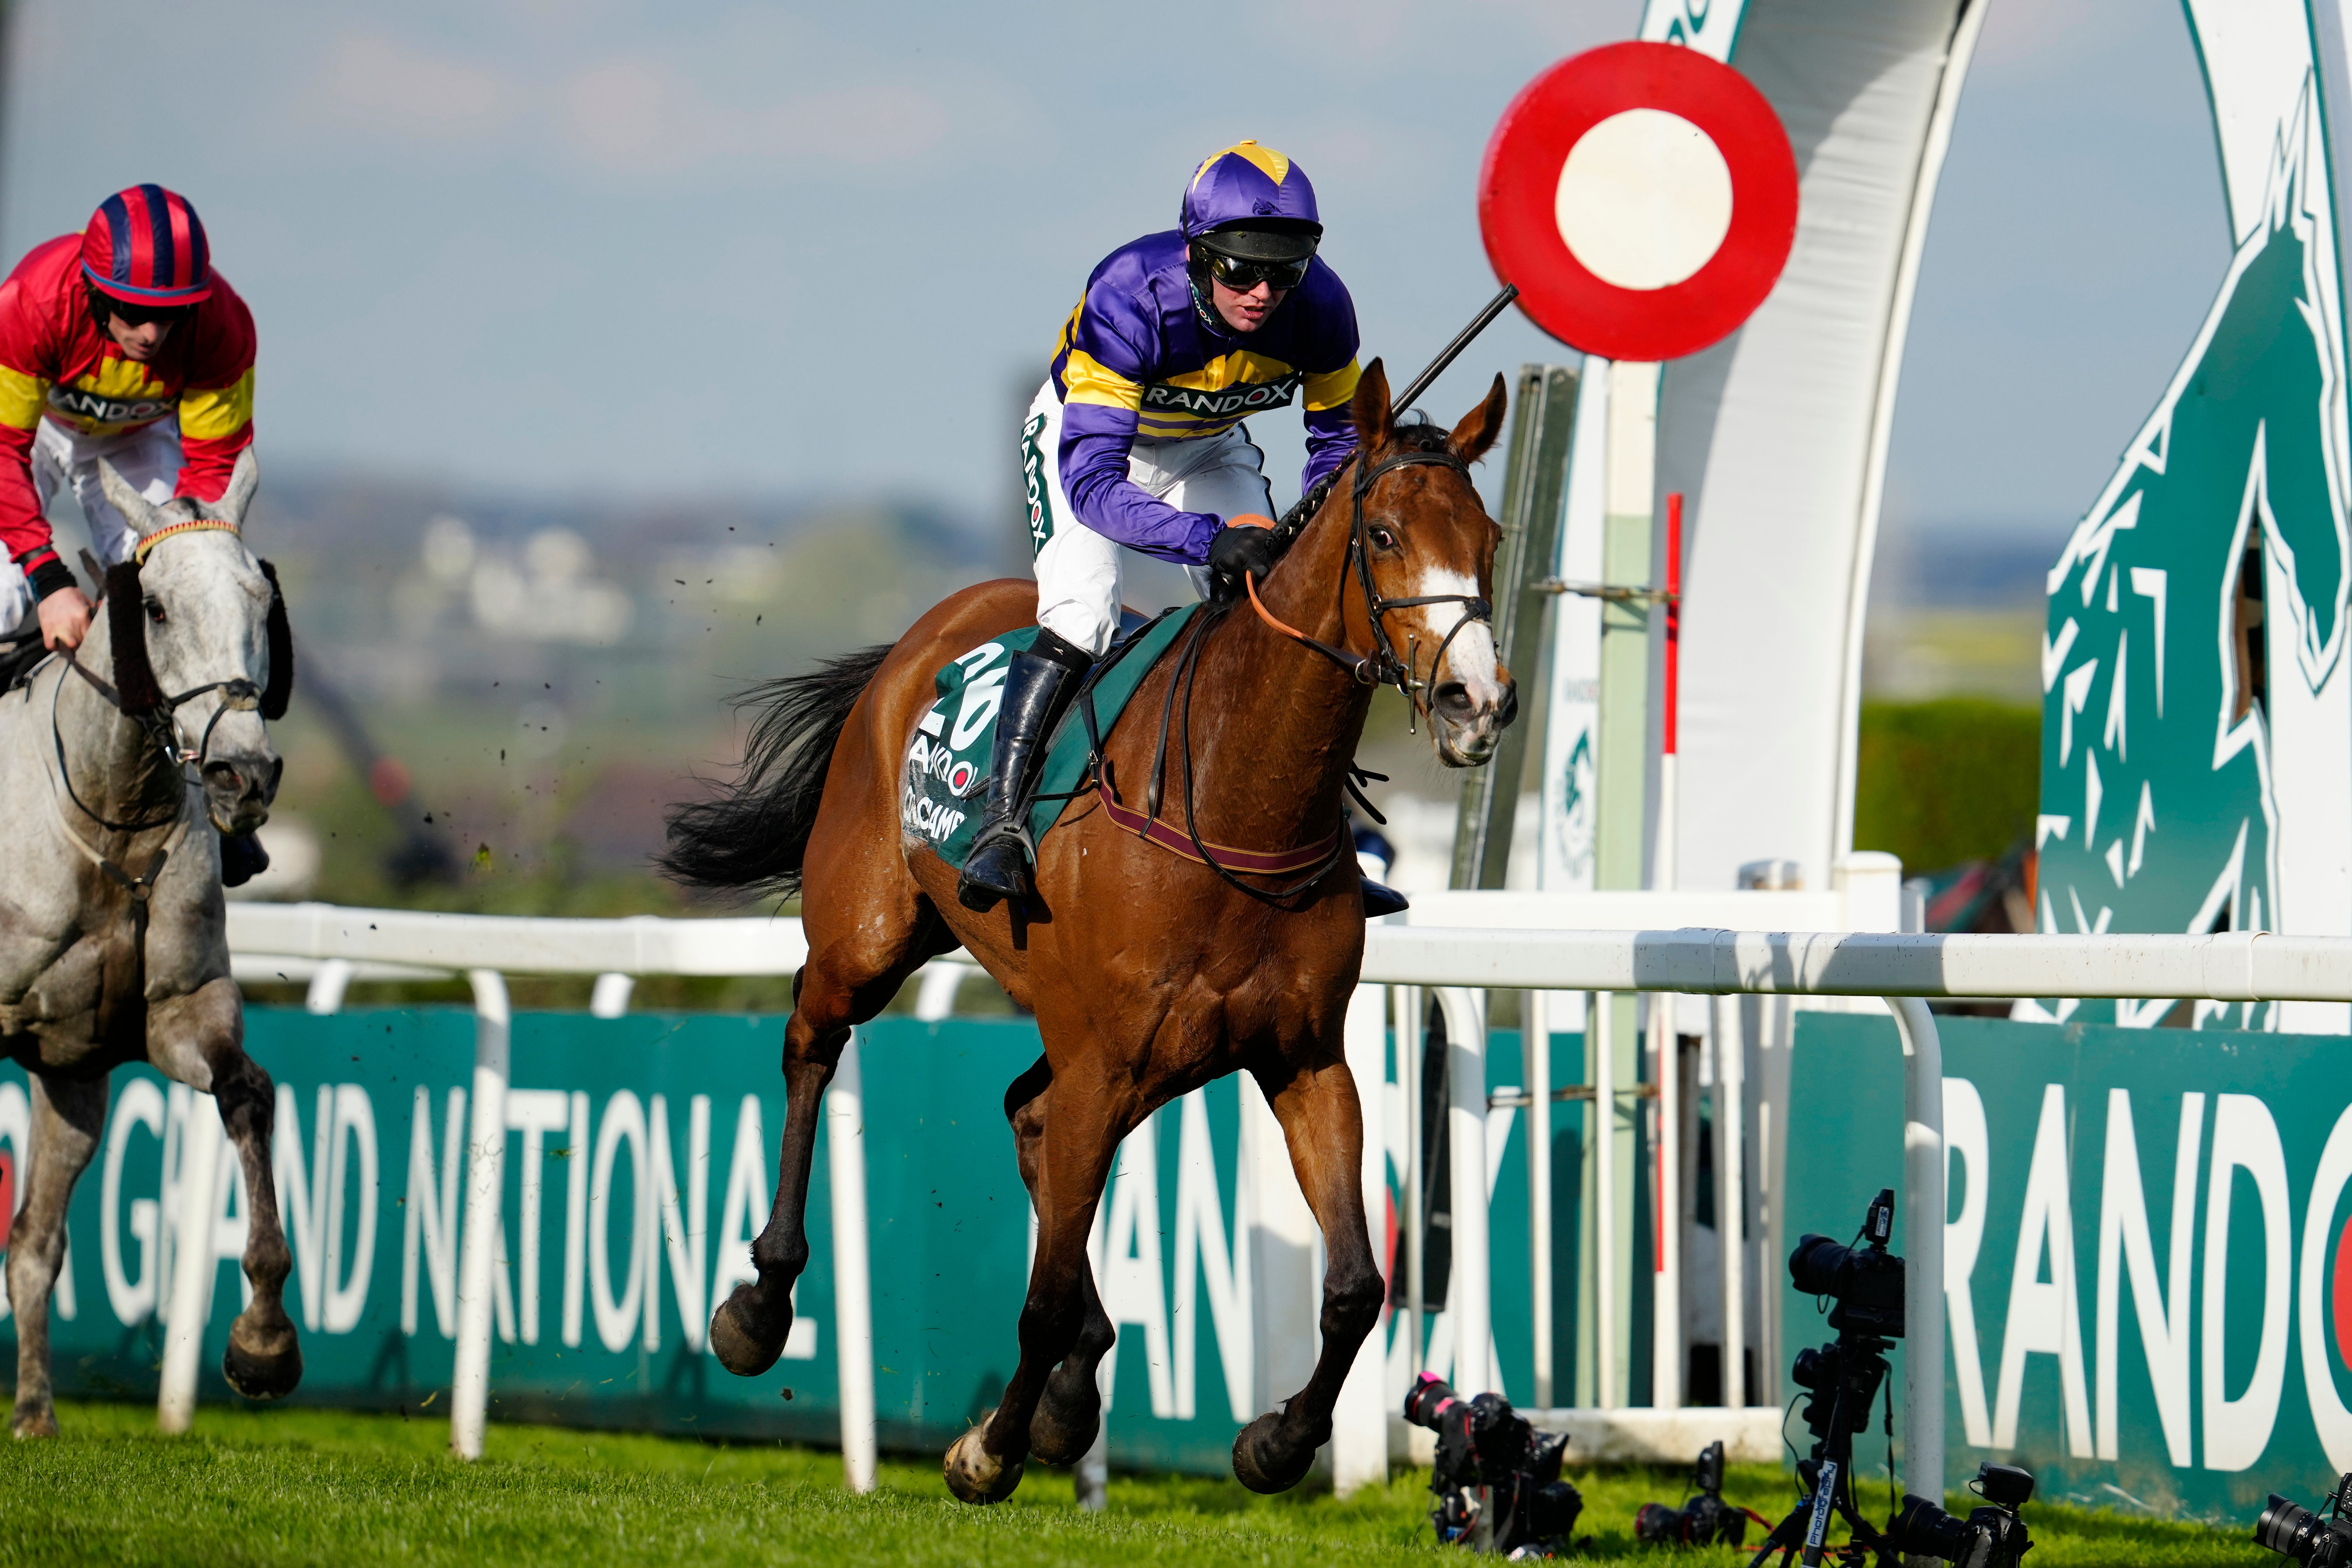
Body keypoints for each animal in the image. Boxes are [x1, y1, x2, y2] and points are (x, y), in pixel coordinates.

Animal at [0, 448, 298, 1436]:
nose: (243, 773)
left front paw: (262, 1341)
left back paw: (36, 1408)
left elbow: (248, 1093)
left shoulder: (173, 1015)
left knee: (34, 1240)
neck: (114, 811)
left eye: (261, 598)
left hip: (70, 1078)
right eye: (157, 607)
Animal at [662, 361, 1514, 1500]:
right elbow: (1047, 1292)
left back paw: (1074, 1389)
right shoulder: (1108, 1059)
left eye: (1489, 536)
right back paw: (761, 1305)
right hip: (871, 932)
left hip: (1128, 1053)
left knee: (1027, 1113)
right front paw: (988, 1446)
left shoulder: (1300, 1056)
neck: (1234, 796)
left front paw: (1276, 1440)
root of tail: (930, 630)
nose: (1478, 700)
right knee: (813, 1039)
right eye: (1380, 534)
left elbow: (1353, 1286)